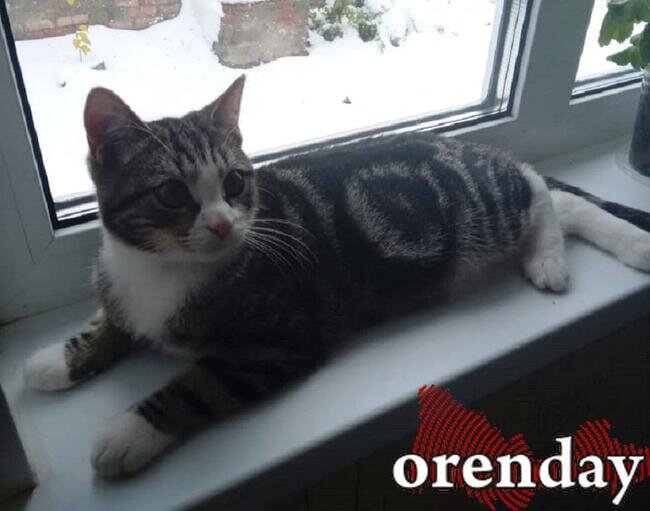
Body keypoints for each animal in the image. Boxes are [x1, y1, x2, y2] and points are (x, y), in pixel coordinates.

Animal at [23, 75, 650, 478]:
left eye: (235, 182)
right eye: (172, 193)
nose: (224, 225)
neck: (163, 268)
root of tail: (470, 148)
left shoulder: (287, 336)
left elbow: (199, 384)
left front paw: (129, 433)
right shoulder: (118, 276)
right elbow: (112, 314)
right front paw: (62, 358)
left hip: (481, 204)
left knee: (538, 187)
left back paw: (566, 255)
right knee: (555, 197)